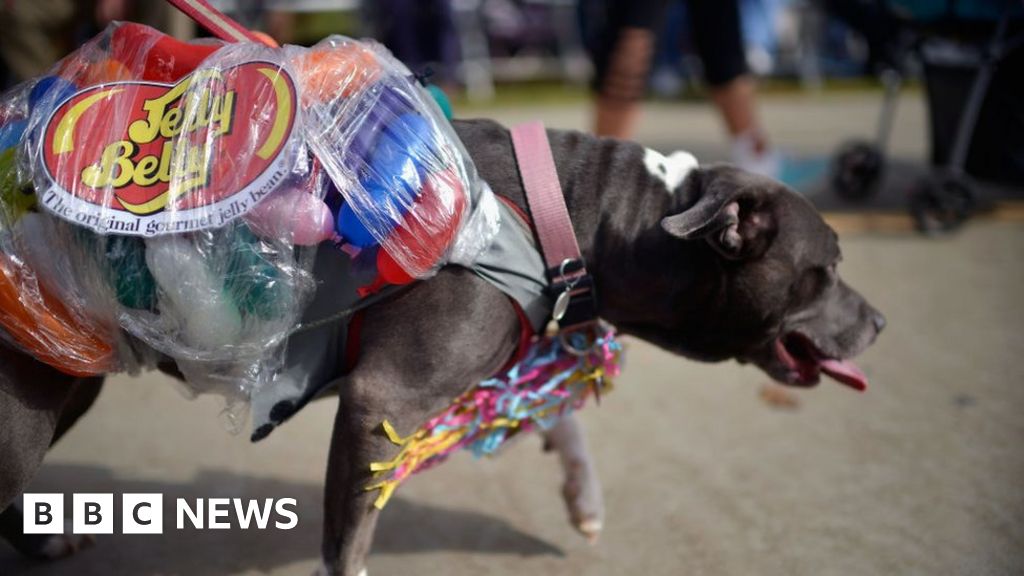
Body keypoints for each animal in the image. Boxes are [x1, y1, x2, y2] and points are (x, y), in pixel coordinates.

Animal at [0, 118, 880, 569]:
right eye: (828, 269)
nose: (878, 322)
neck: (585, 211)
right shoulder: (384, 399)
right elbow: (349, 540)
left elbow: (561, 418)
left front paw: (583, 498)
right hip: (28, 402)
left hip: (68, 376)